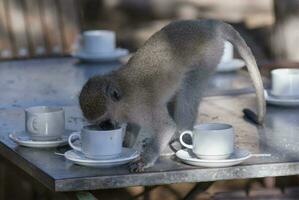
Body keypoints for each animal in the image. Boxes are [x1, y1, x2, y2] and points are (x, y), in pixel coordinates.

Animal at [79, 19, 268, 172]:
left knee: (188, 92)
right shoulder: (132, 111)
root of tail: (208, 24)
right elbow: (134, 125)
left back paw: (179, 136)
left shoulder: (140, 106)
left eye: (104, 120)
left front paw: (144, 160)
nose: (106, 127)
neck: (123, 97)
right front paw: (126, 145)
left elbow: (166, 126)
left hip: (208, 56)